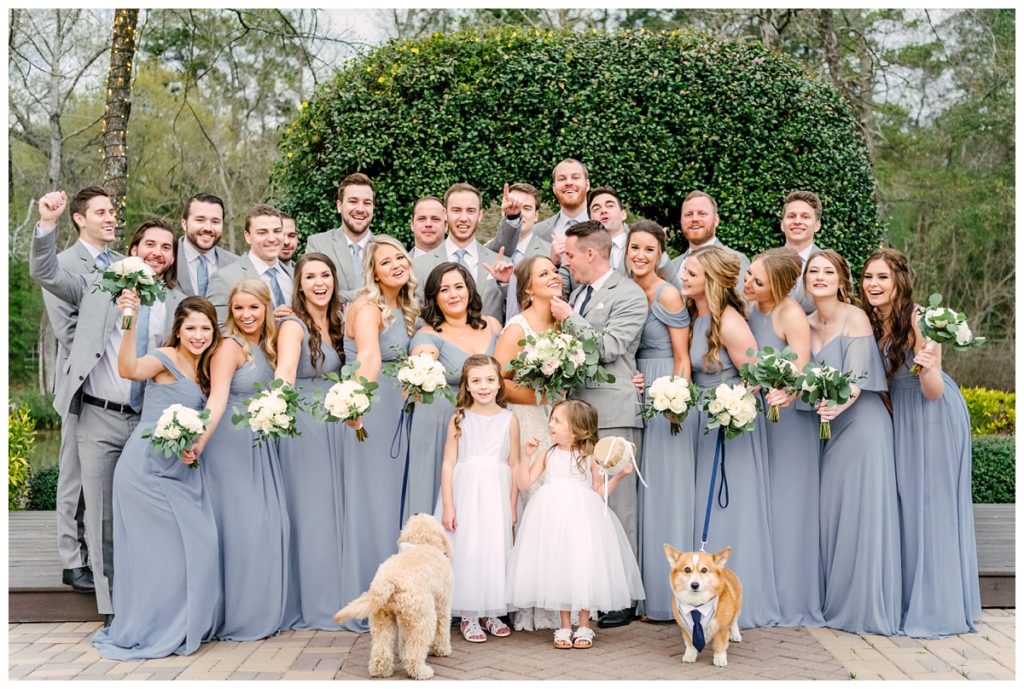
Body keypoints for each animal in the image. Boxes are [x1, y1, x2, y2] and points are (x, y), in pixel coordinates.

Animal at [333, 513, 454, 679]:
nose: (415, 512)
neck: (422, 544)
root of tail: (389, 580)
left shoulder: (404, 617)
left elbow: (404, 639)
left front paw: (403, 652)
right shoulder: (442, 606)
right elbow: (442, 630)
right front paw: (442, 650)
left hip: (382, 618)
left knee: (381, 648)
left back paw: (381, 671)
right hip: (424, 619)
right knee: (414, 653)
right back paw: (422, 672)